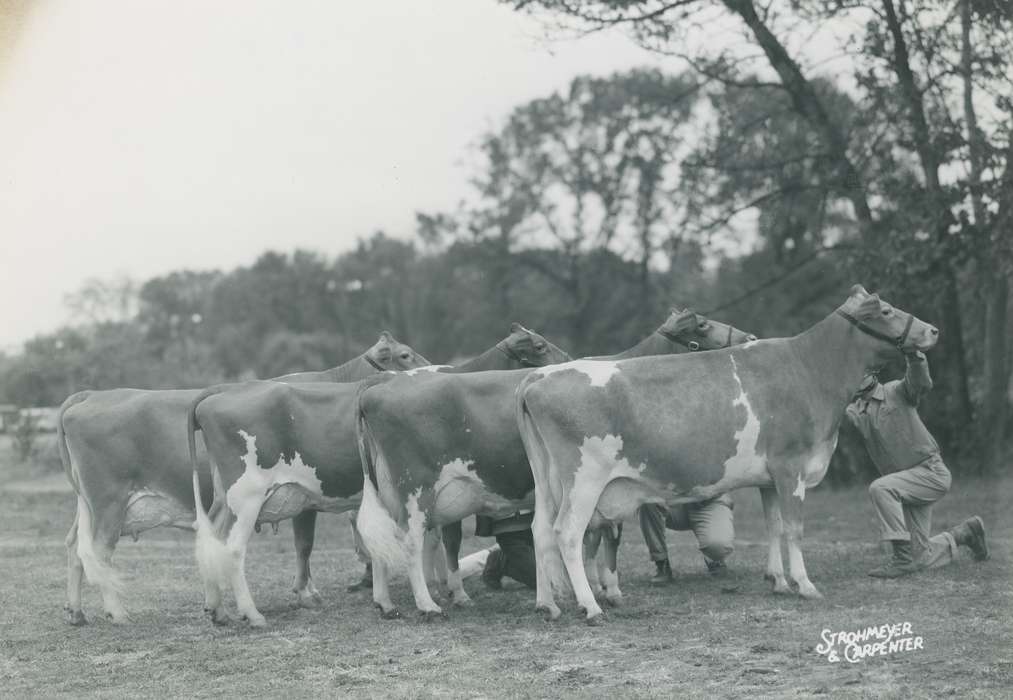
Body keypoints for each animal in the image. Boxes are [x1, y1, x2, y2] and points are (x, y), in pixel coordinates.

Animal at [58, 331, 425, 626]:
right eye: (406, 355)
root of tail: (90, 395)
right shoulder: (307, 500)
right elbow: (305, 545)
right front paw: (307, 593)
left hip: (90, 506)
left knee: (75, 548)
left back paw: (78, 612)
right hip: (110, 504)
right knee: (98, 552)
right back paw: (118, 612)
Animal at [189, 324, 568, 626]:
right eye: (539, 346)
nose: (570, 359)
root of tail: (218, 394)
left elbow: (422, 541)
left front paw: (432, 589)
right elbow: (447, 541)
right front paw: (452, 593)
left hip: (227, 500)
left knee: (212, 541)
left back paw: (218, 608)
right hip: (248, 496)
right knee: (234, 549)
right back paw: (254, 613)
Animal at [355, 309, 755, 619]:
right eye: (702, 325)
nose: (750, 336)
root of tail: (377, 387)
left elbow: (596, 537)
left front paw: (596, 588)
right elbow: (606, 537)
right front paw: (606, 591)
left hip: (390, 488)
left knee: (384, 539)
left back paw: (388, 603)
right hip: (414, 486)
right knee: (409, 538)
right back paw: (429, 605)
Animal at [515, 286, 939, 623]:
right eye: (886, 311)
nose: (932, 329)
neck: (810, 370)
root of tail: (538, 377)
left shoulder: (769, 478)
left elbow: (774, 527)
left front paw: (778, 581)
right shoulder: (791, 467)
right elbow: (795, 528)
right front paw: (804, 584)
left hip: (546, 478)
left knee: (540, 529)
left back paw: (547, 605)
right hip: (583, 478)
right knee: (567, 532)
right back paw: (591, 607)